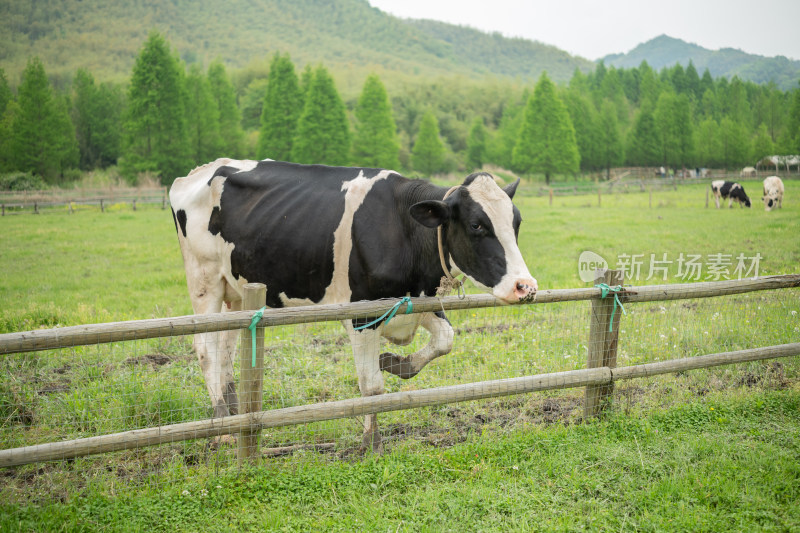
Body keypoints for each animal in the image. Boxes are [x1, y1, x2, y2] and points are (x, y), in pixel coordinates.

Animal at [172, 158, 540, 448]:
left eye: (517, 222)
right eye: (477, 225)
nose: (525, 286)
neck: (403, 230)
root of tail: (199, 171)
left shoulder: (417, 300)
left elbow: (445, 339)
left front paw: (395, 362)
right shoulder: (362, 314)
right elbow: (372, 386)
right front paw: (372, 442)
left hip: (236, 290)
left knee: (226, 347)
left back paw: (235, 413)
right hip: (204, 279)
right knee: (206, 349)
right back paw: (222, 425)